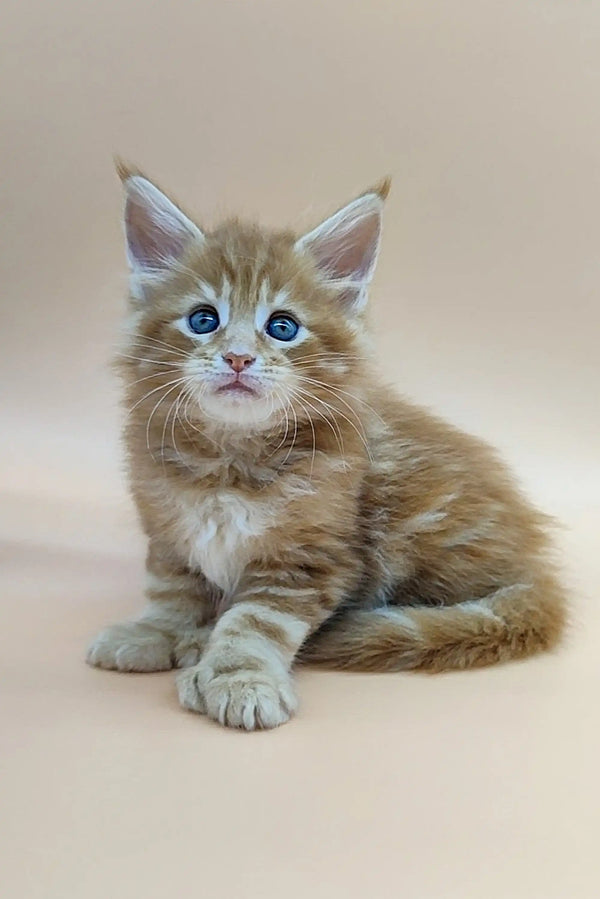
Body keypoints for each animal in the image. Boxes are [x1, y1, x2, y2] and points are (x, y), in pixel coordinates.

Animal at [85, 167, 568, 732]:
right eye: (204, 320)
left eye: (282, 327)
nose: (238, 358)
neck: (229, 461)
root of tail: (536, 568)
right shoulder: (169, 533)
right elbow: (173, 592)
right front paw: (158, 632)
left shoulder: (306, 560)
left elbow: (252, 624)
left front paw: (239, 678)